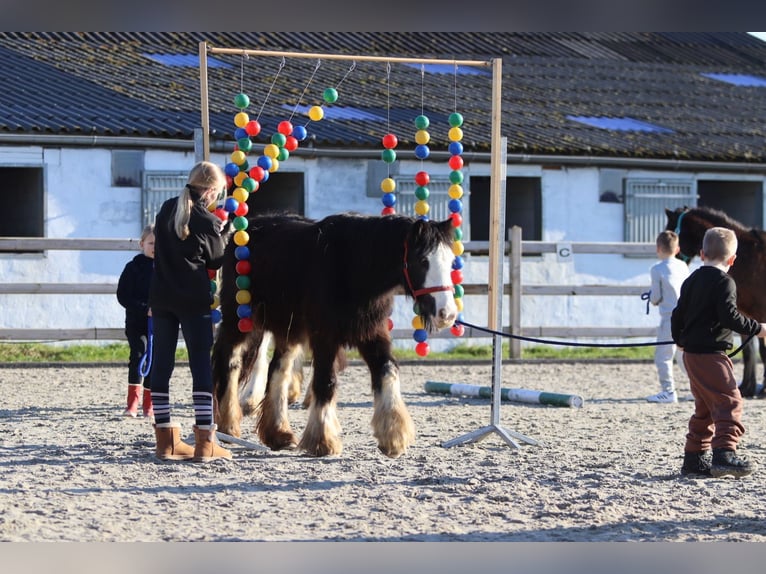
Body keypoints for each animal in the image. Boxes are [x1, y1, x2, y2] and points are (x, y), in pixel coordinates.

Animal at [212, 212, 456, 460]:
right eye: (423, 260)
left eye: (451, 260)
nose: (447, 314)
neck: (353, 266)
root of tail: (242, 230)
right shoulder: (325, 336)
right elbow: (326, 381)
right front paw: (323, 440)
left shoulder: (372, 333)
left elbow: (388, 370)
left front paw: (394, 435)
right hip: (240, 321)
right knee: (230, 361)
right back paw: (228, 424)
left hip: (290, 330)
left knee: (279, 369)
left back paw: (279, 434)